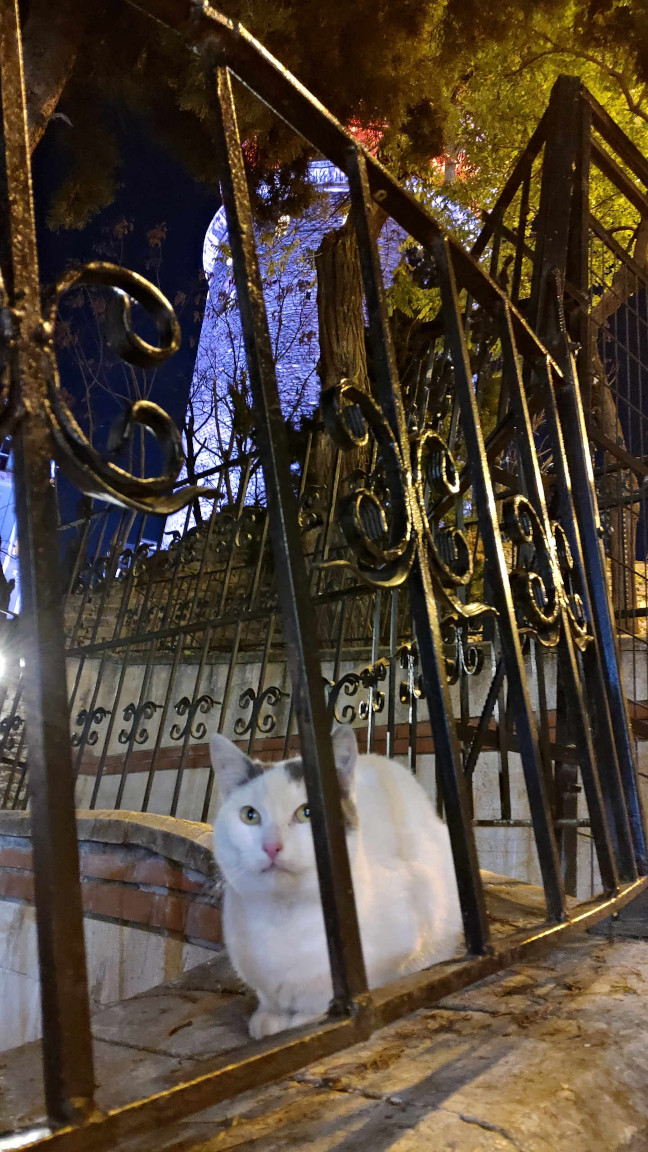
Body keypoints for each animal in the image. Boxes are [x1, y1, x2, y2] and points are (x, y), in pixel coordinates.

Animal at [209, 723, 461, 1041]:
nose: (271, 846)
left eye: (307, 813)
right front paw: (269, 1016)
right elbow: (269, 995)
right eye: (249, 815)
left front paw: (306, 1018)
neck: (284, 916)